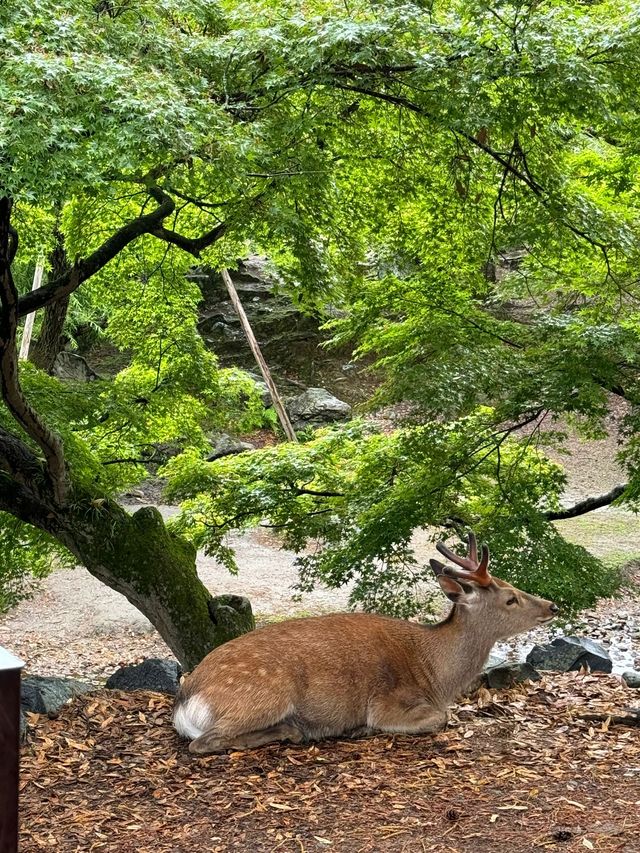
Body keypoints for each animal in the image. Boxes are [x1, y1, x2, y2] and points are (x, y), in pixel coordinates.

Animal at [172, 532, 556, 752]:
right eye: (510, 598)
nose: (552, 606)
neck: (435, 676)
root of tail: (185, 701)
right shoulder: (387, 701)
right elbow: (440, 718)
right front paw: (362, 729)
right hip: (265, 694)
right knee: (203, 743)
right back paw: (294, 730)